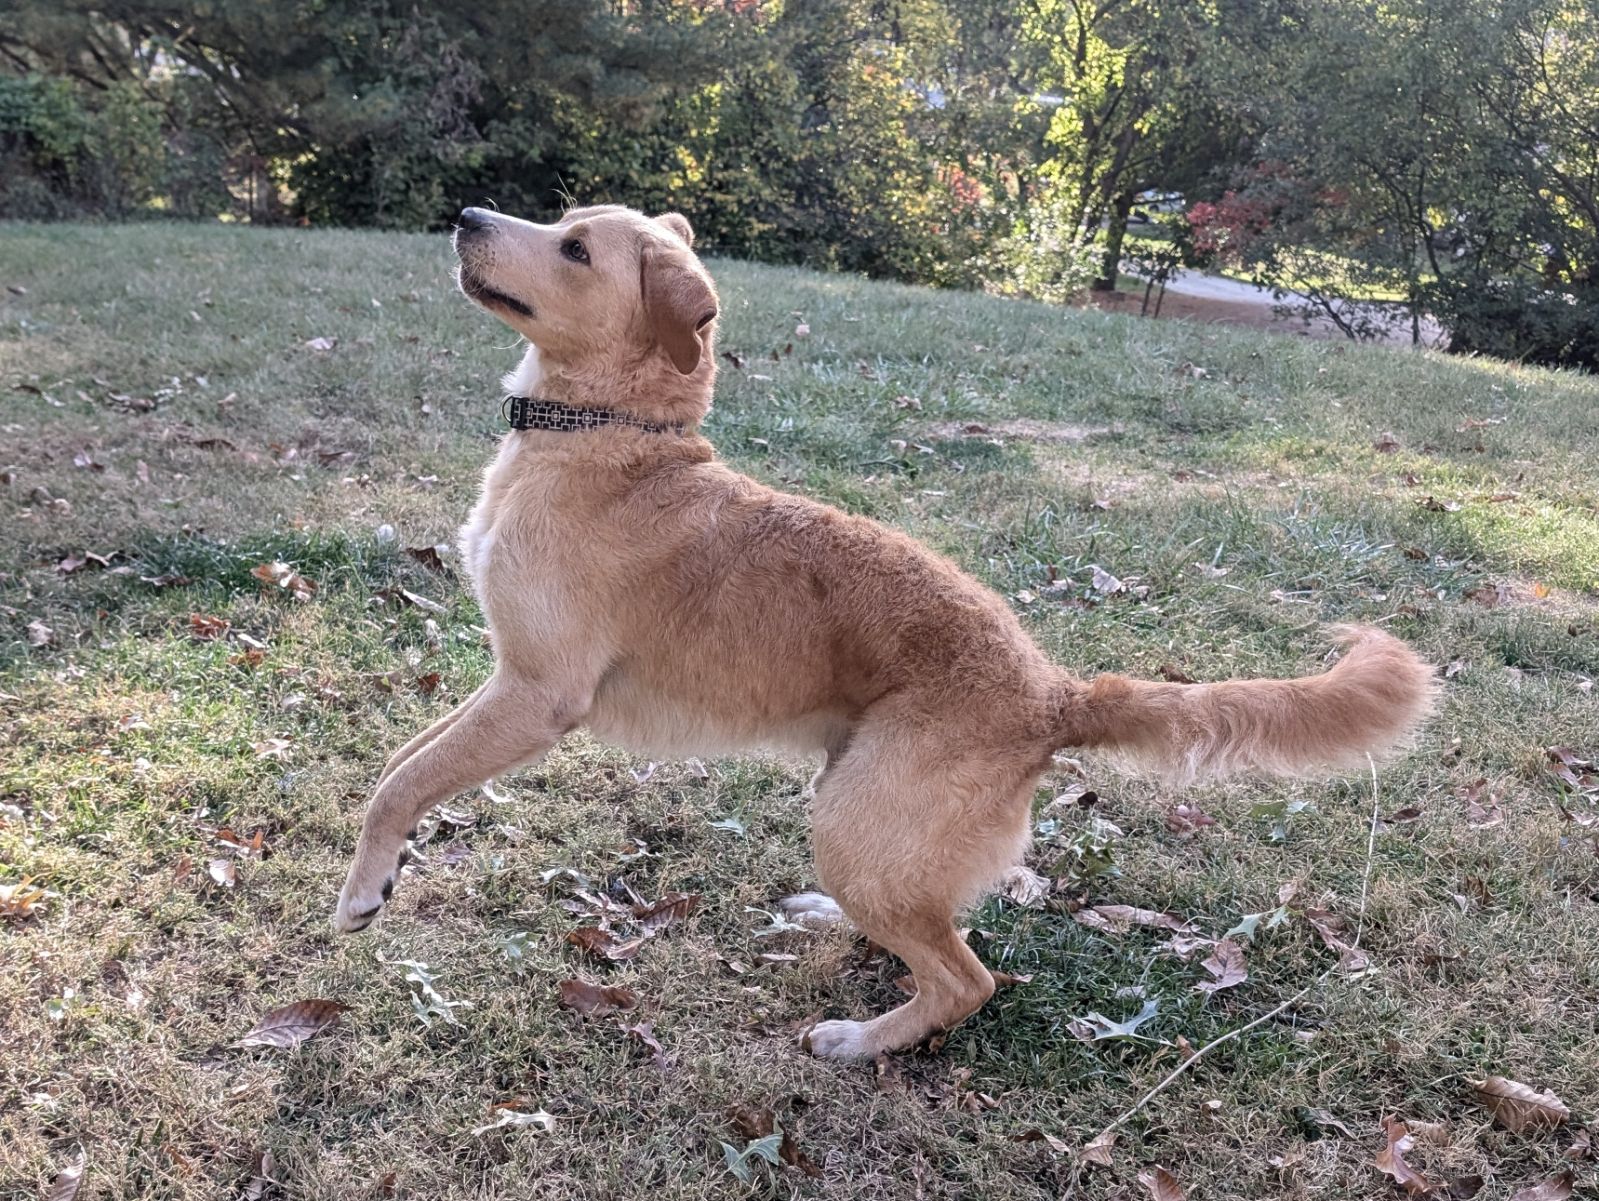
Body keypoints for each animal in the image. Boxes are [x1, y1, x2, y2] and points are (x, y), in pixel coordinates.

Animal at [330, 206, 1432, 1061]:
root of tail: (1052, 694)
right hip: (856, 805)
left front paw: (362, 890)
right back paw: (833, 923)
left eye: (572, 248)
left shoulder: (534, 694)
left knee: (962, 976)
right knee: (940, 918)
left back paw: (864, 1041)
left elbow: (403, 779)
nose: (466, 215)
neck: (614, 440)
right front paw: (381, 870)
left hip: (855, 823)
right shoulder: (503, 683)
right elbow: (400, 760)